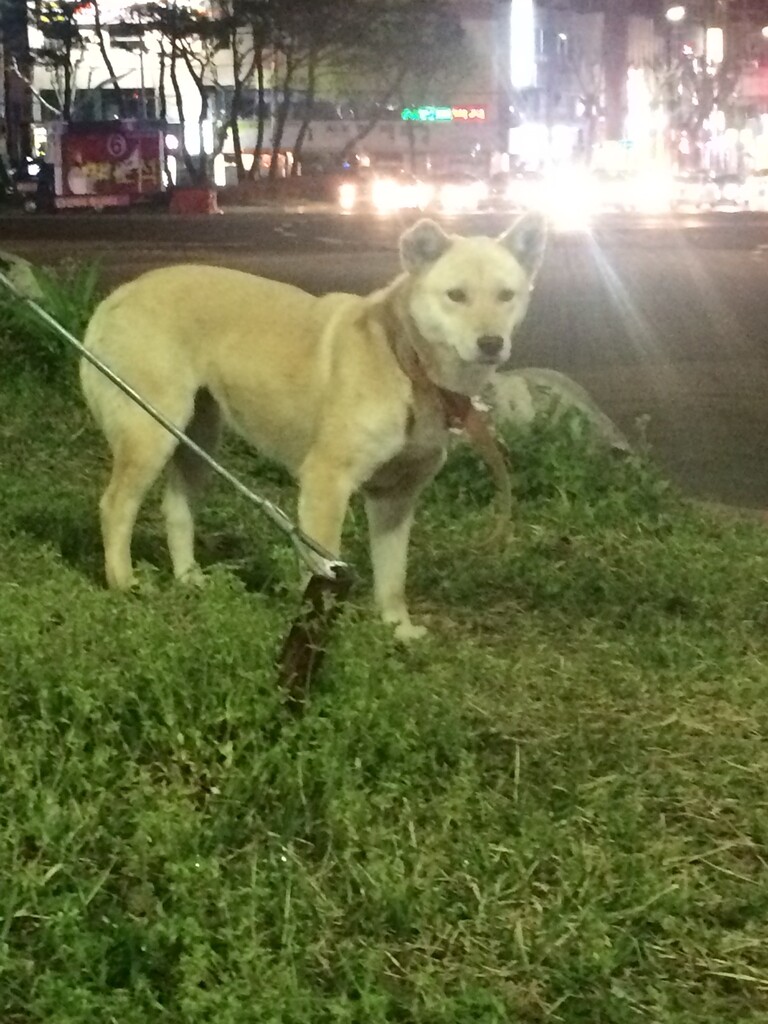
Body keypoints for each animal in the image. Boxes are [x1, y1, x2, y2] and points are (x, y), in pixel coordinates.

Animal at [80, 214, 546, 639]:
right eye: (456, 295)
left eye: (506, 295)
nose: (491, 343)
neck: (405, 360)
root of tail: (119, 293)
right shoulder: (326, 482)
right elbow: (322, 573)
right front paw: (319, 635)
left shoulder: (395, 497)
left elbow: (393, 578)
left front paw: (397, 630)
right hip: (150, 433)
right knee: (115, 506)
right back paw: (124, 583)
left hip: (197, 441)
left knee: (176, 509)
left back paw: (189, 579)